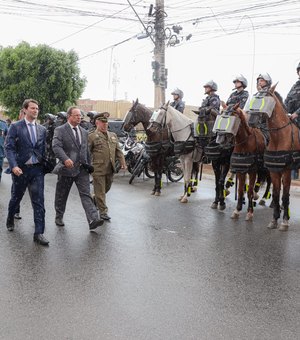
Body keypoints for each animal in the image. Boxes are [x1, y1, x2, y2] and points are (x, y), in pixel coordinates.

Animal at [247, 84, 300, 231]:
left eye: (264, 101)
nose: (251, 121)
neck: (279, 137)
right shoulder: (274, 170)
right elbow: (276, 193)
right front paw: (274, 219)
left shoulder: (287, 171)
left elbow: (285, 195)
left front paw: (285, 221)